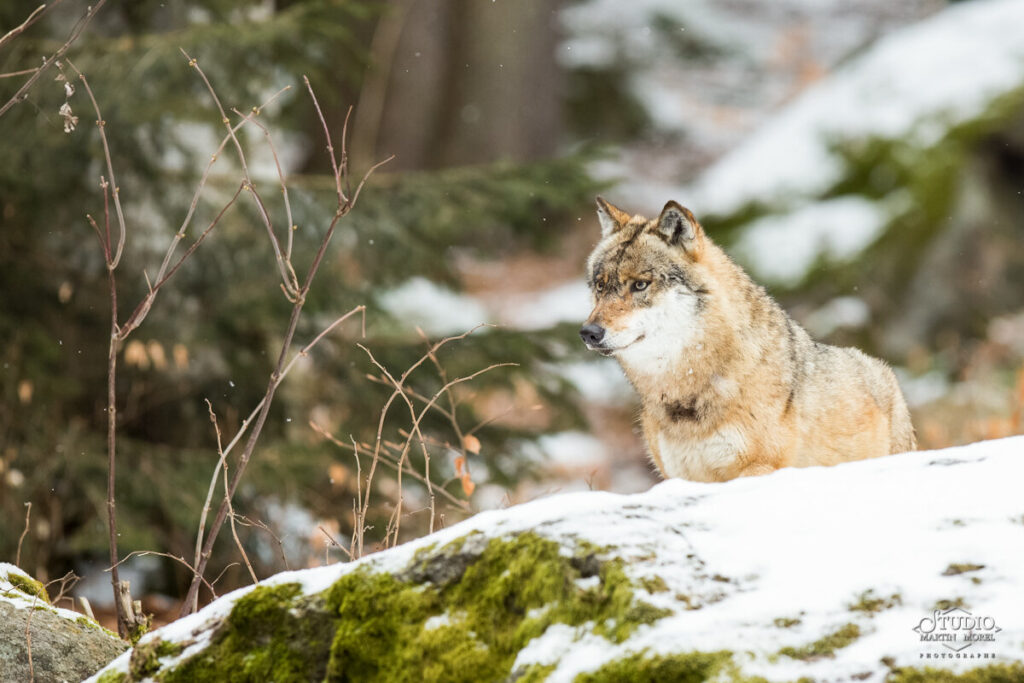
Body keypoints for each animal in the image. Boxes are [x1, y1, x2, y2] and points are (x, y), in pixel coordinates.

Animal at [580, 197, 916, 482]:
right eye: (600, 286)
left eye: (640, 285)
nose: (589, 332)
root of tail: (885, 371)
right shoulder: (680, 477)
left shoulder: (759, 468)